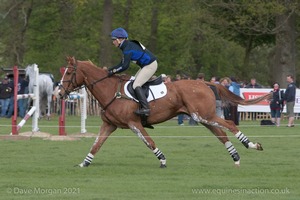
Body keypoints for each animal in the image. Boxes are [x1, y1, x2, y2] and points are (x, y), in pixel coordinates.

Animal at [58, 57, 270, 168]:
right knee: (221, 134)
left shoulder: (134, 124)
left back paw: (252, 145)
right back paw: (236, 158)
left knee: (230, 124)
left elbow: (149, 142)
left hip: (203, 116)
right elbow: (96, 145)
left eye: (69, 73)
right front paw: (84, 163)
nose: (59, 93)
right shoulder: (109, 125)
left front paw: (163, 160)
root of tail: (204, 83)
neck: (111, 91)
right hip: (204, 118)